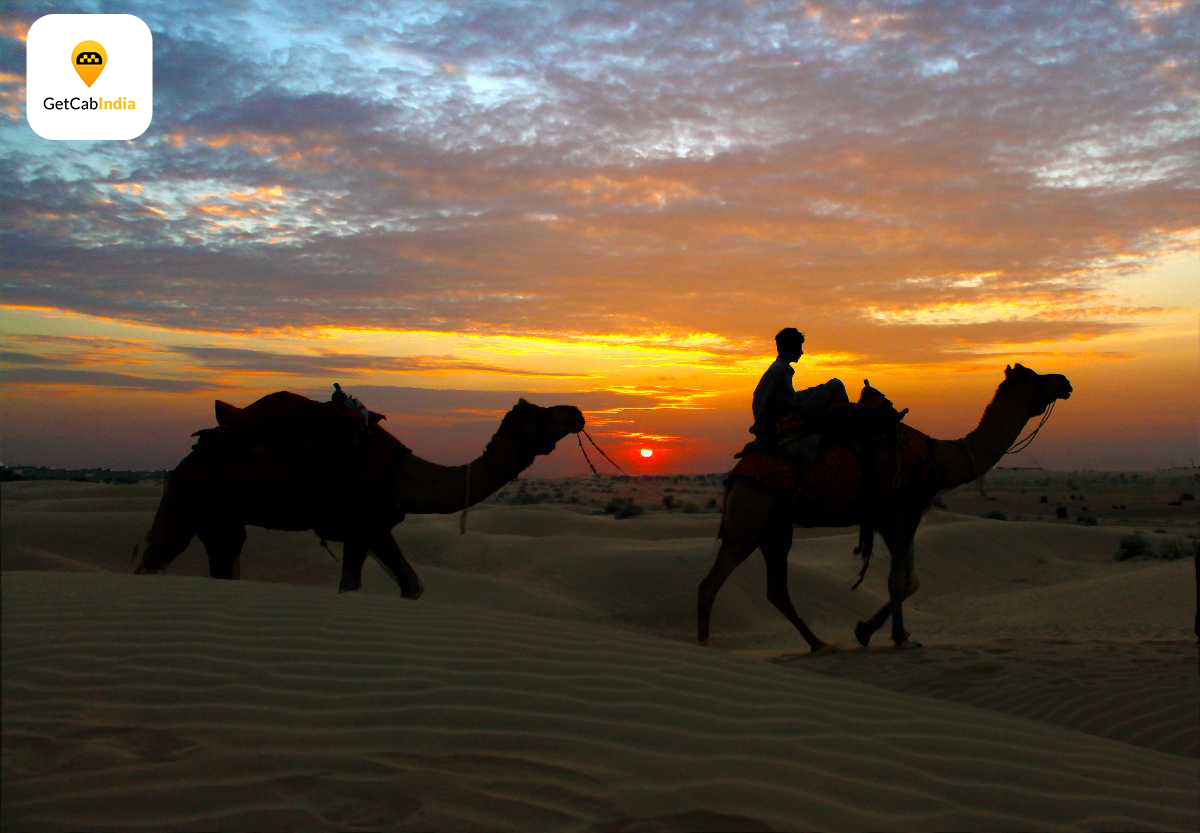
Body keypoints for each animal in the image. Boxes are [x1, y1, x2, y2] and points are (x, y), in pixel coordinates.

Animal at [132, 396, 585, 597]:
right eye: (542, 413)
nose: (577, 412)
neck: (406, 474)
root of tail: (191, 455)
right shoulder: (362, 523)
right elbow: (352, 586)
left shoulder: (373, 528)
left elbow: (411, 584)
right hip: (191, 498)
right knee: (156, 555)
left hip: (219, 517)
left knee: (223, 560)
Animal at [700, 364, 1075, 652]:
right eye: (1034, 377)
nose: (1064, 381)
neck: (938, 459)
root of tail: (737, 475)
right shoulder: (900, 511)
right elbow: (898, 580)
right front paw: (896, 638)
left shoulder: (891, 517)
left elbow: (911, 580)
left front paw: (871, 630)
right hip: (750, 517)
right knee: (712, 582)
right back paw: (703, 644)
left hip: (775, 528)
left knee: (776, 589)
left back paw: (819, 643)